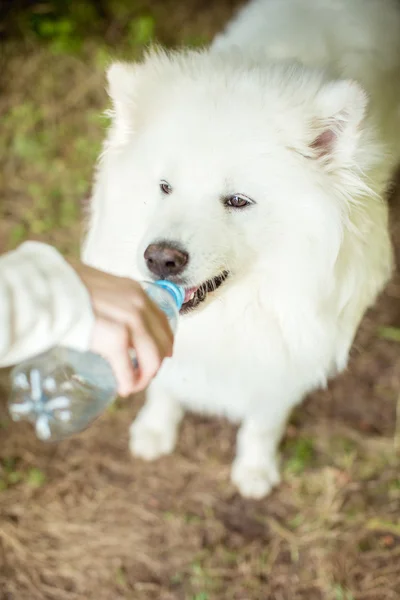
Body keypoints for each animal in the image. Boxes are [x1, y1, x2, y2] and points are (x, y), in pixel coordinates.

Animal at [83, 0, 400, 496]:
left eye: (237, 201)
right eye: (165, 187)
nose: (160, 258)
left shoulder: (286, 361)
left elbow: (262, 423)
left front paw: (254, 471)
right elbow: (165, 387)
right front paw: (154, 431)